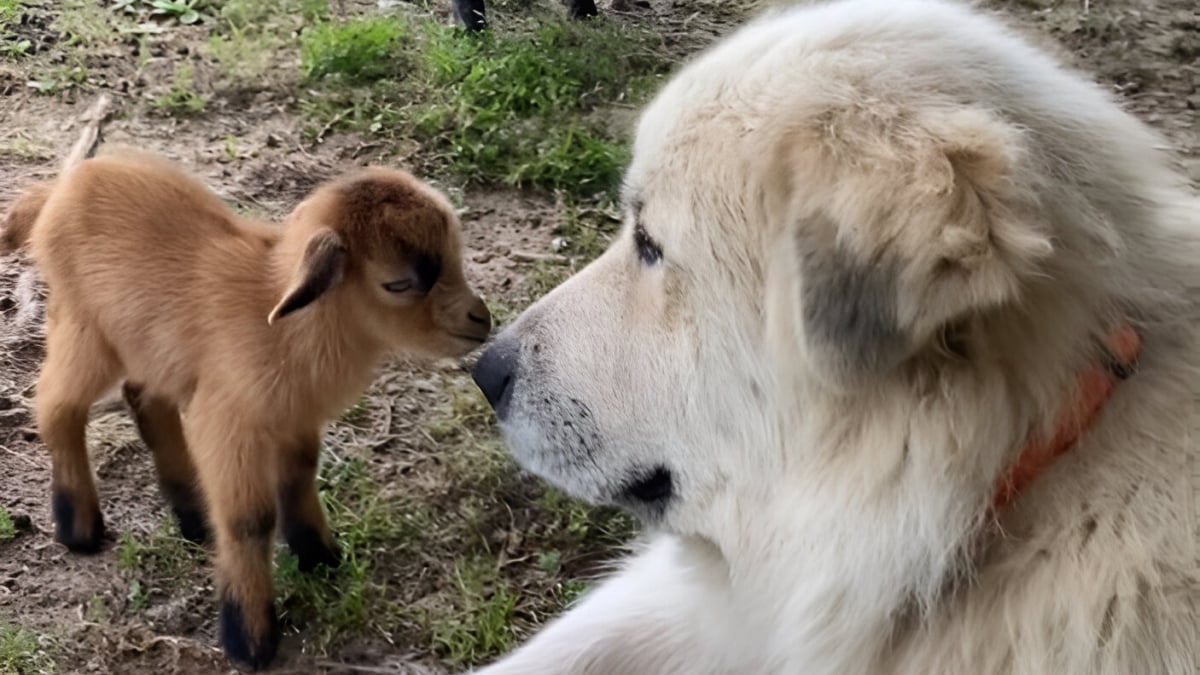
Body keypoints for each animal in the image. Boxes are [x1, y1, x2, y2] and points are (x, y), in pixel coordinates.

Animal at [0, 152, 492, 667]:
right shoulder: (228, 421)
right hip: (84, 326)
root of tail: (62, 186)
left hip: (151, 345)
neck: (288, 325)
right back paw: (79, 528)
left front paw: (320, 557)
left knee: (143, 397)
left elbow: (297, 478)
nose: (481, 320)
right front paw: (249, 638)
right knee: (57, 404)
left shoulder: (293, 417)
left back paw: (193, 514)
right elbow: (249, 520)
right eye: (398, 284)